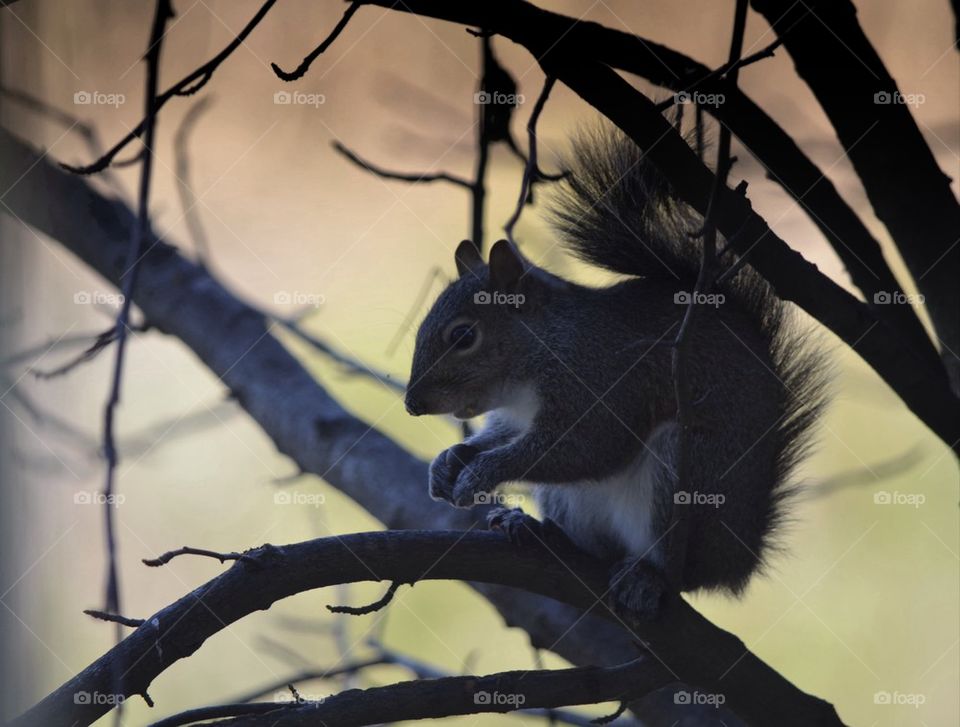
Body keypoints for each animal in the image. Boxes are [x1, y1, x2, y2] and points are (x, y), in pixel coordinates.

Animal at [404, 128, 828, 618]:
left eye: (463, 336)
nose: (412, 404)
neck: (540, 355)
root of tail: (735, 563)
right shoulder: (517, 415)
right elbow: (502, 435)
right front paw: (451, 461)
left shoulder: (601, 379)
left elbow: (586, 447)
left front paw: (482, 473)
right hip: (572, 501)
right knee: (597, 546)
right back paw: (537, 530)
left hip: (686, 473)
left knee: (677, 572)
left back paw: (648, 578)